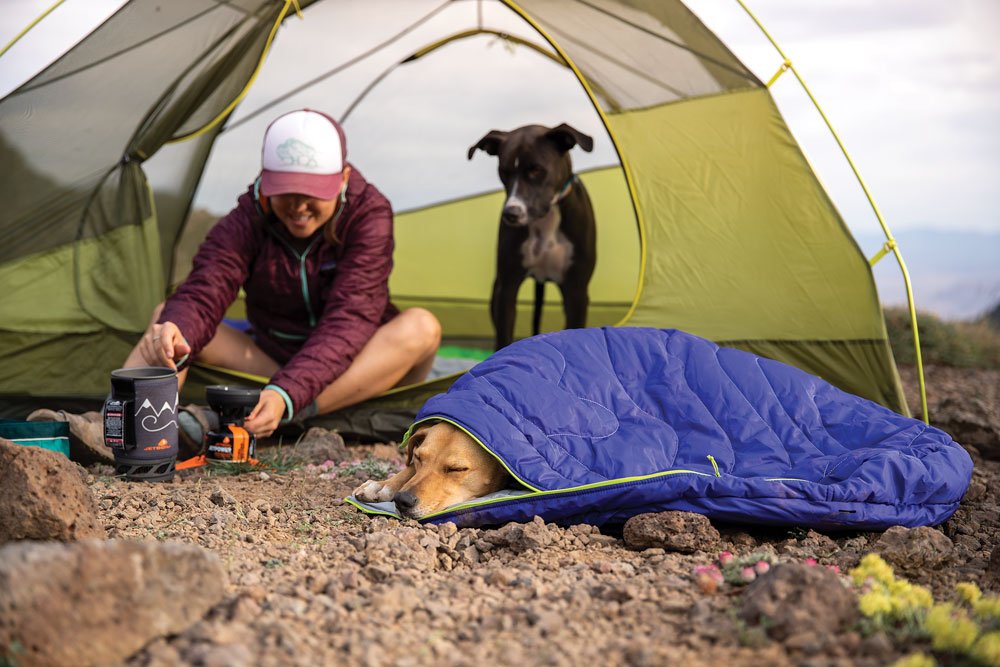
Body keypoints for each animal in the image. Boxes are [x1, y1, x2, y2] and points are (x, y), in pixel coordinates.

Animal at [466, 124, 596, 350]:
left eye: (536, 170)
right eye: (504, 172)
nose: (511, 213)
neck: (545, 220)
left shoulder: (577, 290)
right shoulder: (507, 287)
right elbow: (503, 338)